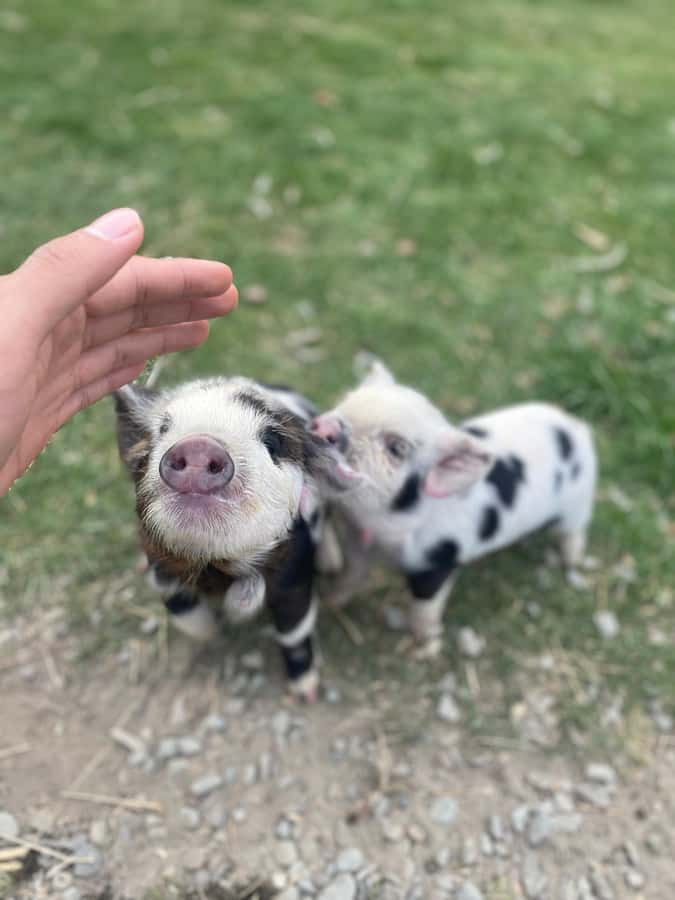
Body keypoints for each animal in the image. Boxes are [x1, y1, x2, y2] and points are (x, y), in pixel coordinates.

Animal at [114, 375, 346, 700]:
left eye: (272, 441)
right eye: (163, 429)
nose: (199, 445)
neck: (215, 569)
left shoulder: (295, 575)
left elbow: (294, 633)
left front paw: (306, 692)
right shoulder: (159, 565)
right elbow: (179, 606)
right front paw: (211, 635)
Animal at [312, 362, 597, 657]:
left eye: (396, 447)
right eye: (345, 402)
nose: (324, 426)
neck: (381, 532)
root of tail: (576, 428)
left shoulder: (439, 560)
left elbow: (425, 606)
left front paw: (426, 644)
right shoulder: (357, 544)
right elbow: (351, 576)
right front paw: (330, 602)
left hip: (577, 505)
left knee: (575, 533)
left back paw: (571, 561)